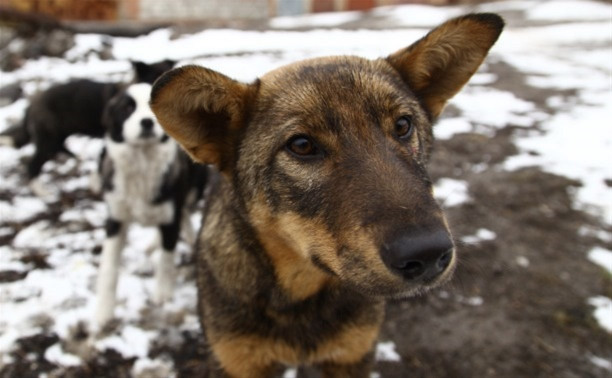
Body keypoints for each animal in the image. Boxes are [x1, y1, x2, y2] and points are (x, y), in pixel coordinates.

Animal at [94, 82, 207, 328]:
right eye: (127, 108)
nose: (147, 122)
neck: (142, 163)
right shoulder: (115, 219)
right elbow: (108, 267)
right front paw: (104, 311)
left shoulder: (170, 217)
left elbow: (166, 258)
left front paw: (163, 294)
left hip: (194, 187)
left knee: (184, 210)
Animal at [152, 13, 502, 376]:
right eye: (302, 145)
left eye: (403, 125)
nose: (428, 252)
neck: (302, 295)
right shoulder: (239, 363)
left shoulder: (352, 355)